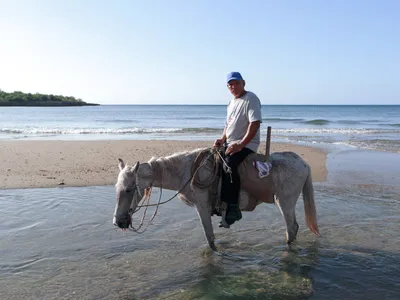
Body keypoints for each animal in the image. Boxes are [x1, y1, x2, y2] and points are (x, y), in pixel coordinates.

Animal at [112, 148, 318, 251]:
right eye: (117, 189)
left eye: (130, 189)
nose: (118, 222)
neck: (186, 171)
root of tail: (304, 163)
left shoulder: (202, 206)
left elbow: (209, 236)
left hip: (285, 202)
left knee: (291, 228)